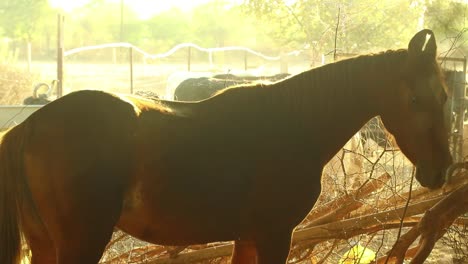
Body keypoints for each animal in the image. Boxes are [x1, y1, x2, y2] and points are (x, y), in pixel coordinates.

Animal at [0, 29, 452, 264]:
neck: (293, 124)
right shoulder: (274, 235)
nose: (441, 169)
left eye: (446, 96)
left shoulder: (247, 237)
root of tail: (32, 125)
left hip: (45, 244)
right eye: (416, 100)